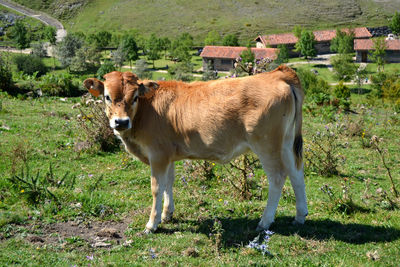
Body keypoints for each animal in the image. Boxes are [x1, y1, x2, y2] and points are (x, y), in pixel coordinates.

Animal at [84, 66, 308, 234]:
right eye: (107, 97)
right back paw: (300, 216)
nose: (121, 122)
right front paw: (167, 214)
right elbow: (168, 183)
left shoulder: (157, 155)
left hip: (267, 145)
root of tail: (277, 74)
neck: (147, 111)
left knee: (278, 177)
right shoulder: (167, 155)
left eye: (135, 98)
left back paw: (265, 221)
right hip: (287, 143)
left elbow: (157, 187)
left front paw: (152, 224)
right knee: (296, 173)